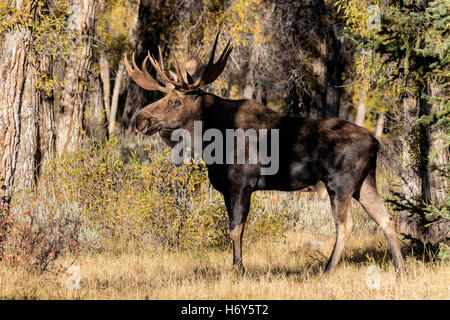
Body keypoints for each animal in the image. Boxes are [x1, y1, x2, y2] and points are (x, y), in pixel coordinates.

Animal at [125, 31, 406, 276]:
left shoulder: (242, 184)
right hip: (365, 182)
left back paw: (327, 269)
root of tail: (376, 143)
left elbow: (236, 230)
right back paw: (400, 270)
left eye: (176, 102)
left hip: (340, 183)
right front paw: (237, 267)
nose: (140, 119)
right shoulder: (226, 189)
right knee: (386, 218)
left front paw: (240, 270)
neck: (209, 139)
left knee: (346, 224)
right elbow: (233, 228)